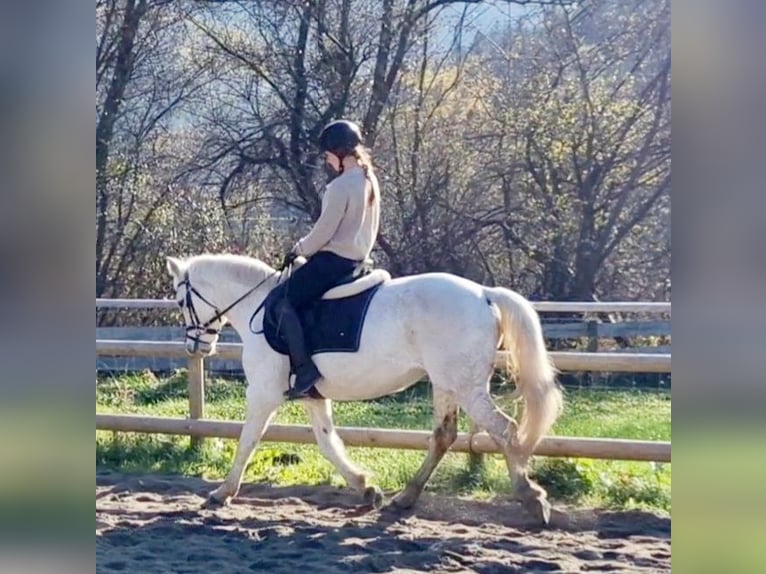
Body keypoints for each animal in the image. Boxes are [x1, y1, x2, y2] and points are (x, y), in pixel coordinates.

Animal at [166, 254, 564, 524]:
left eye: (180, 300)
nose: (196, 347)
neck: (258, 306)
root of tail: (484, 294)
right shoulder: (312, 396)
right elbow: (328, 443)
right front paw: (365, 487)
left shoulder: (263, 393)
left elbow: (248, 439)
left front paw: (222, 492)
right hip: (446, 384)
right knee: (444, 436)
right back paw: (406, 497)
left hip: (466, 387)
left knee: (505, 430)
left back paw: (532, 498)